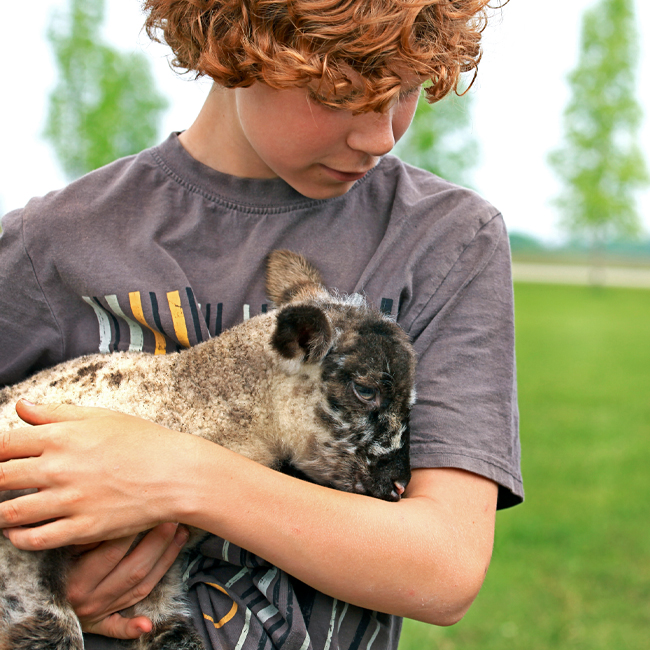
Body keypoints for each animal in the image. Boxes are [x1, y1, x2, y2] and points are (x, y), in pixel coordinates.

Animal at [0, 249, 416, 648]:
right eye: (365, 391)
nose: (400, 485)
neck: (185, 402)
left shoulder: (159, 579)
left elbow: (174, 637)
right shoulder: (18, 541)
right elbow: (55, 633)